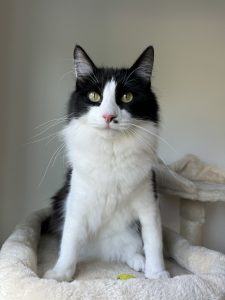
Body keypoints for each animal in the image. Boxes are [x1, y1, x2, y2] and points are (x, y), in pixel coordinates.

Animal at [41, 44, 169, 282]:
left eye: (127, 97)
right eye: (94, 96)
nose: (109, 116)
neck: (112, 153)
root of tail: (103, 252)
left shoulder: (148, 203)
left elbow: (154, 242)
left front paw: (157, 274)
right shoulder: (76, 202)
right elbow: (69, 242)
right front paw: (61, 274)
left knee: (130, 250)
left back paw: (140, 262)